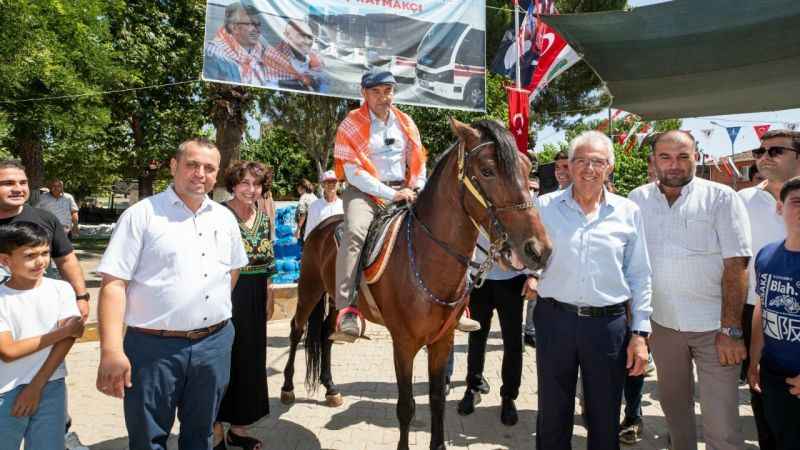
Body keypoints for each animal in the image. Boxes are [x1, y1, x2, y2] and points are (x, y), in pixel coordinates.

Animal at [280, 118, 552, 448]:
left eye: (527, 169)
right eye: (487, 170)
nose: (538, 250)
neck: (426, 256)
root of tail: (318, 227)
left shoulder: (442, 341)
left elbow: (436, 399)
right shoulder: (404, 344)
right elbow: (406, 406)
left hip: (334, 297)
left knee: (327, 334)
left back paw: (331, 388)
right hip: (309, 289)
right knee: (296, 330)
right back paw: (287, 388)